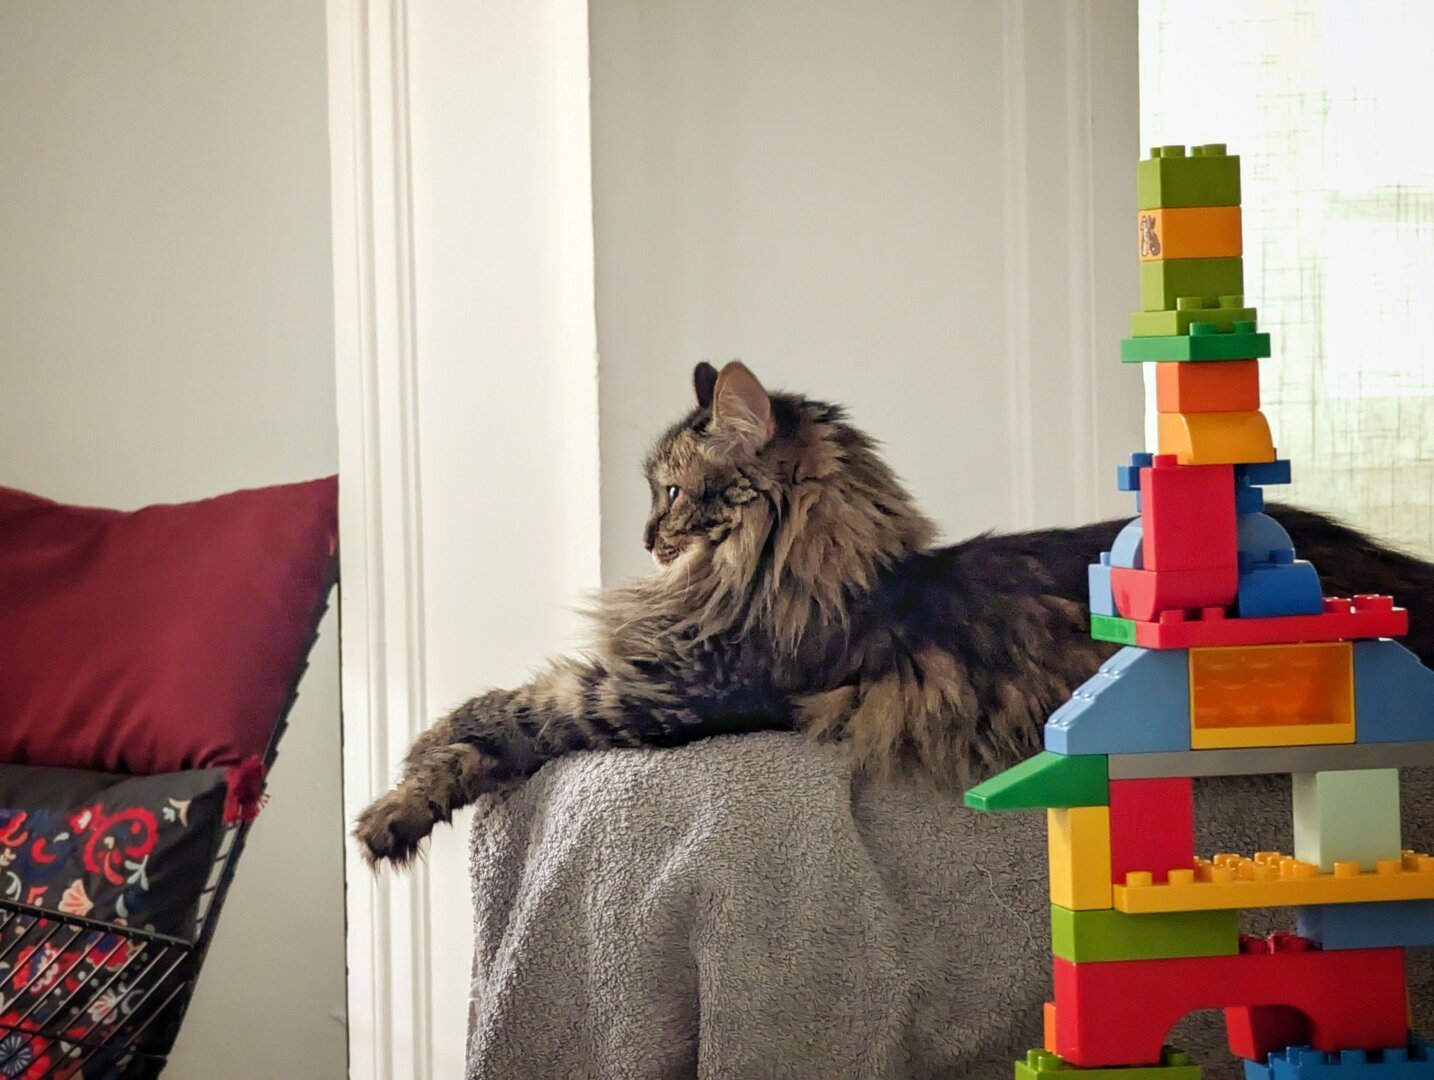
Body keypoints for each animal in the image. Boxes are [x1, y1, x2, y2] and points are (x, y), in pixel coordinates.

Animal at [355, 358, 1434, 866]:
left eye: (669, 492)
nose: (648, 538)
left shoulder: (665, 691)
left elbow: (502, 711)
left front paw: (391, 802)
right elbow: (499, 714)